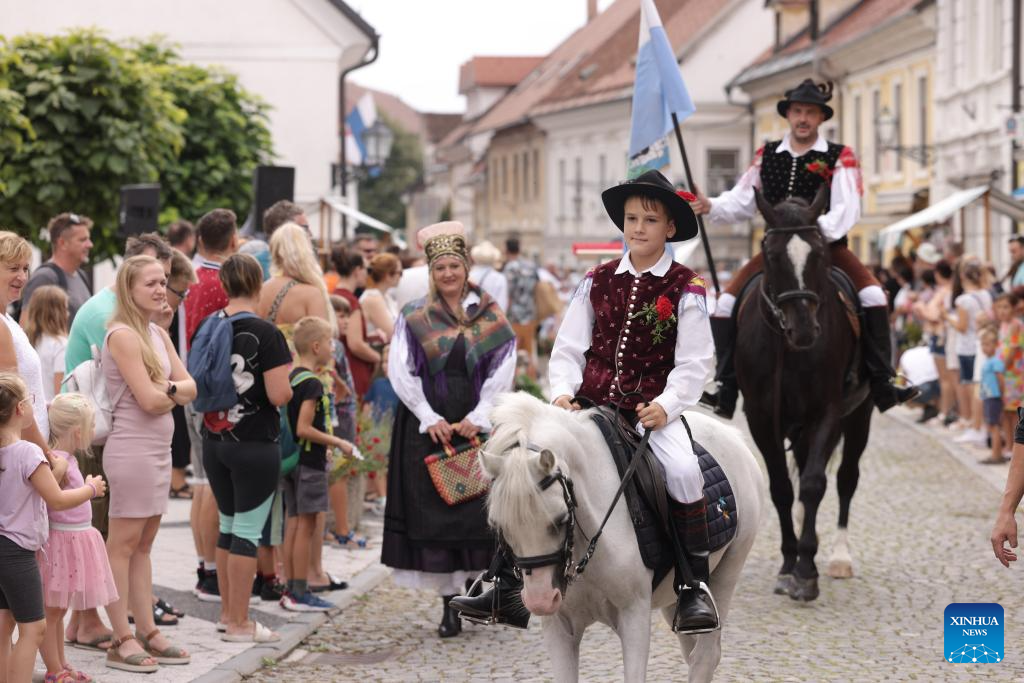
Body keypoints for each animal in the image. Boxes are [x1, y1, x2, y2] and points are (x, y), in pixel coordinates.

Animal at [483, 395, 765, 683]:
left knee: (705, 657)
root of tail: (732, 436)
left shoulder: (634, 617)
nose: (539, 600)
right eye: (497, 526)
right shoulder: (558, 625)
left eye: (561, 519)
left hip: (726, 575)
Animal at [737, 184, 872, 602]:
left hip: (858, 417)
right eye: (772, 255)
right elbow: (781, 487)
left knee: (846, 478)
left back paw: (840, 557)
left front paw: (807, 570)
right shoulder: (763, 419)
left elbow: (814, 484)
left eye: (820, 252)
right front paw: (789, 561)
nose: (804, 329)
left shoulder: (826, 413)